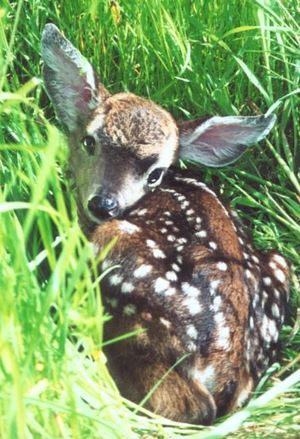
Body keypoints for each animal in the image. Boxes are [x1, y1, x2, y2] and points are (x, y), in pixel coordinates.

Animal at [41, 24, 290, 426]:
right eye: (89, 141)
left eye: (155, 174)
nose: (104, 204)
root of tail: (225, 370)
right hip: (281, 263)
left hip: (121, 268)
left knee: (181, 403)